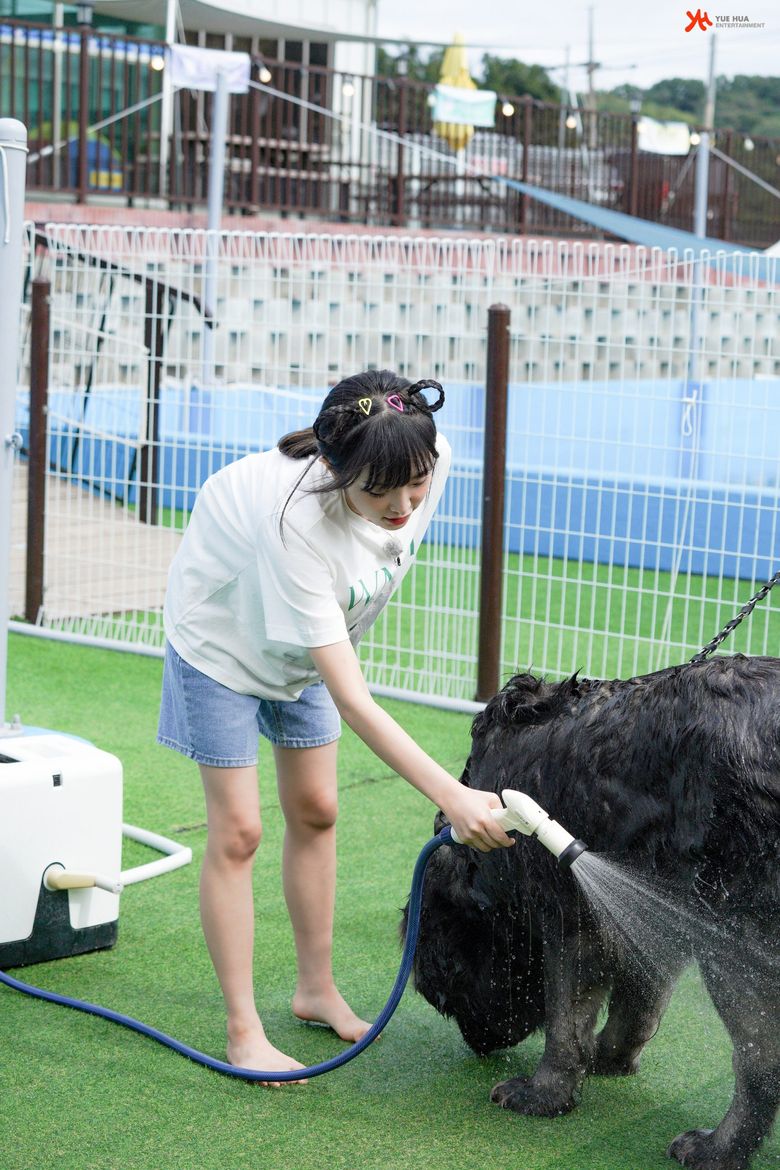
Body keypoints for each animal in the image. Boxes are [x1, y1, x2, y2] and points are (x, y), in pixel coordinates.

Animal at [409, 659, 780, 1170]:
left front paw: (544, 1093)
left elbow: (567, 1017)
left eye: (450, 996)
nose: (477, 1044)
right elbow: (640, 995)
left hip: (737, 937)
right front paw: (608, 1057)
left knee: (761, 1059)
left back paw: (717, 1149)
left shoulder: (571, 908)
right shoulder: (652, 907)